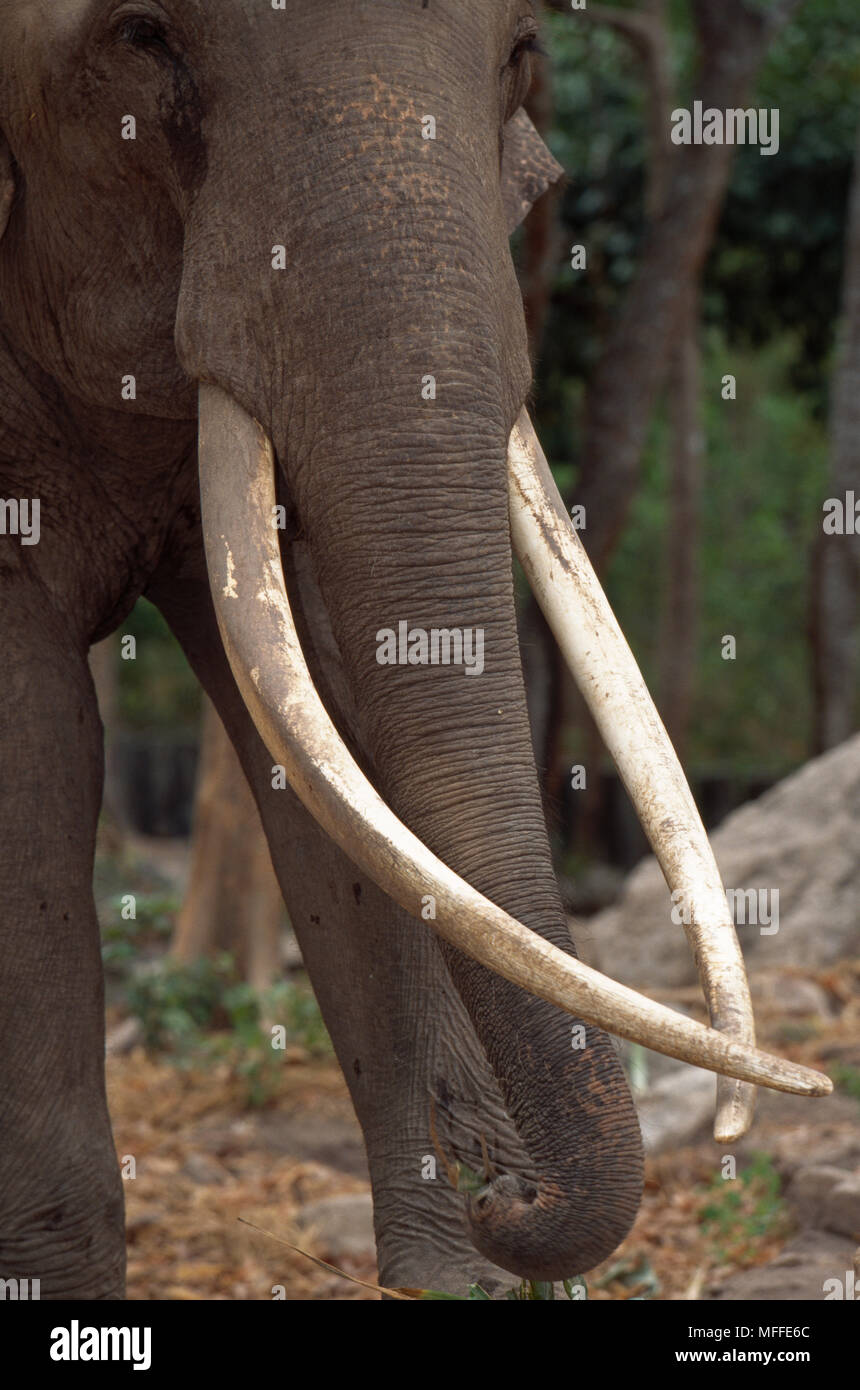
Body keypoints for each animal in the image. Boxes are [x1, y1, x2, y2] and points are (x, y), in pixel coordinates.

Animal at [0, 0, 829, 1300]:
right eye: (141, 35)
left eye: (522, 49)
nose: (509, 1194)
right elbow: (33, 746)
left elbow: (340, 740)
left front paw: (454, 1273)